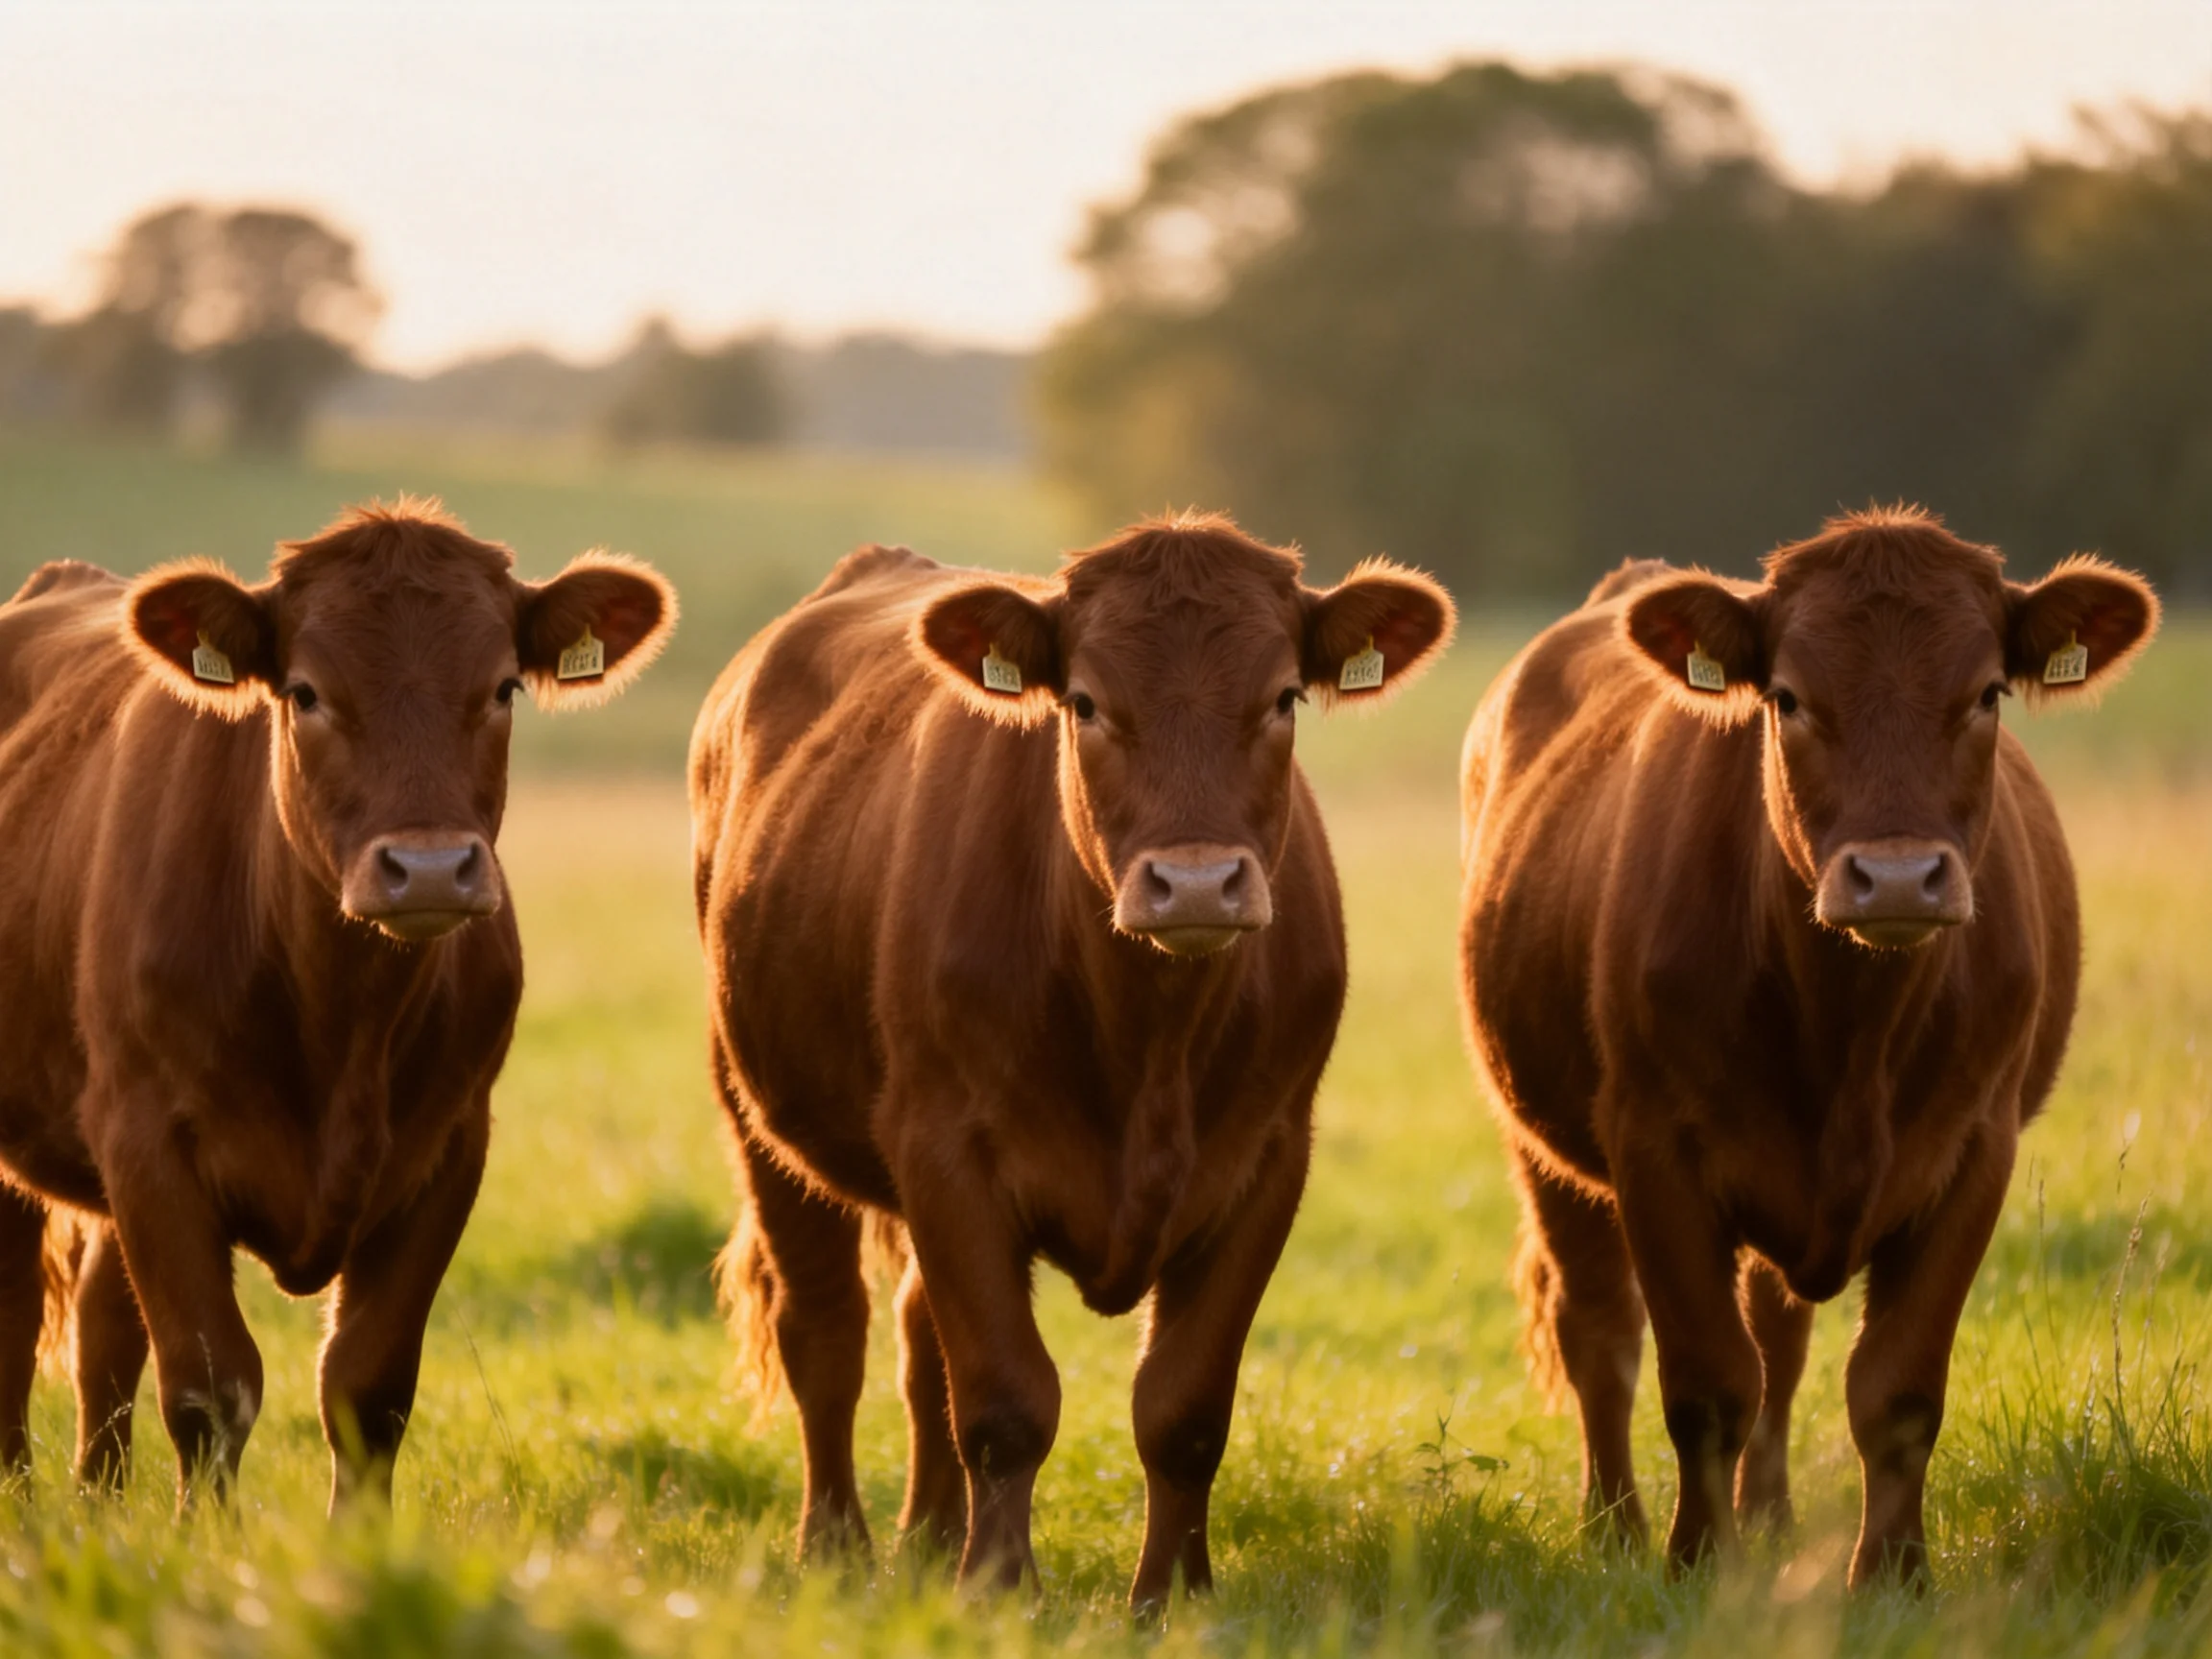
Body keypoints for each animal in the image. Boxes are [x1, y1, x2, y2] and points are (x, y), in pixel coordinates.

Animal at [0, 501, 675, 1508]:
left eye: (504, 687)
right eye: (306, 693)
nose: (428, 868)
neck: (338, 1016)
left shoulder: (448, 1148)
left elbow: (367, 1387)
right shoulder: (147, 1139)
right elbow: (210, 1388)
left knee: (100, 1326)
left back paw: (99, 1504)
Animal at [691, 514, 1453, 1606]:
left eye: (1283, 697)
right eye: (1085, 702)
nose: (1195, 885)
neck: (1149, 1039)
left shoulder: (1268, 1161)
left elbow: (1183, 1410)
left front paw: (1172, 1600)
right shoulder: (947, 1151)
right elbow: (1006, 1401)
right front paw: (999, 1590)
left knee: (919, 1341)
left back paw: (931, 1540)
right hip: (756, 1110)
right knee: (826, 1333)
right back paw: (837, 1548)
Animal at [1457, 506, 2158, 1586]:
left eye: (1988, 694)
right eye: (1787, 699)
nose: (1899, 878)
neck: (1850, 1035)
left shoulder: (1976, 1150)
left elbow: (1895, 1390)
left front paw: (1895, 1574)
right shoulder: (1652, 1148)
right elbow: (1705, 1381)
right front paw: (1696, 1566)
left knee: (1778, 1338)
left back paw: (1773, 1518)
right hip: (1540, 1139)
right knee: (1599, 1331)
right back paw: (1613, 1527)